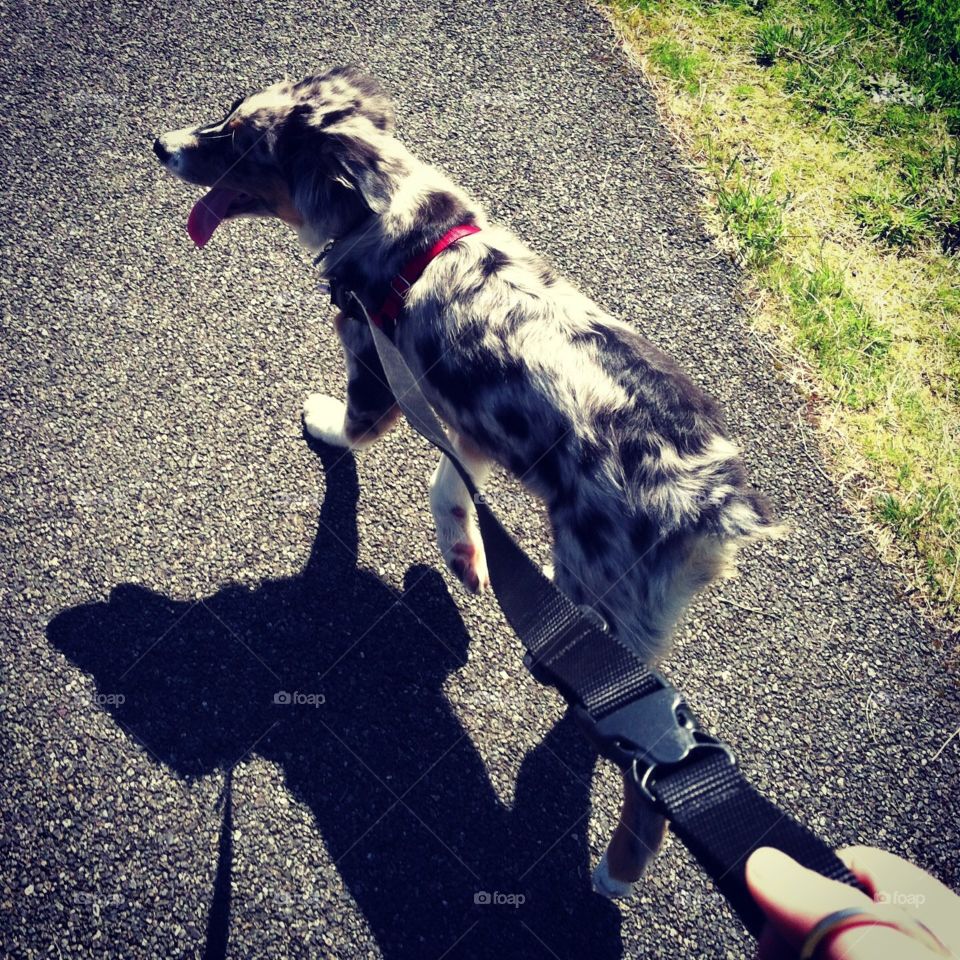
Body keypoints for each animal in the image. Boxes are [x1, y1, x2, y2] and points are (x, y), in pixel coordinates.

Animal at [152, 67, 780, 900]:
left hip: (615, 599)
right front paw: (462, 553)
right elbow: (449, 478)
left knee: (645, 771)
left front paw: (323, 425)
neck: (396, 218)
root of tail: (715, 500)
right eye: (226, 117)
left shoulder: (376, 366)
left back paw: (615, 871)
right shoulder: (467, 411)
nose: (160, 145)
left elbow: (357, 428)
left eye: (243, 143)